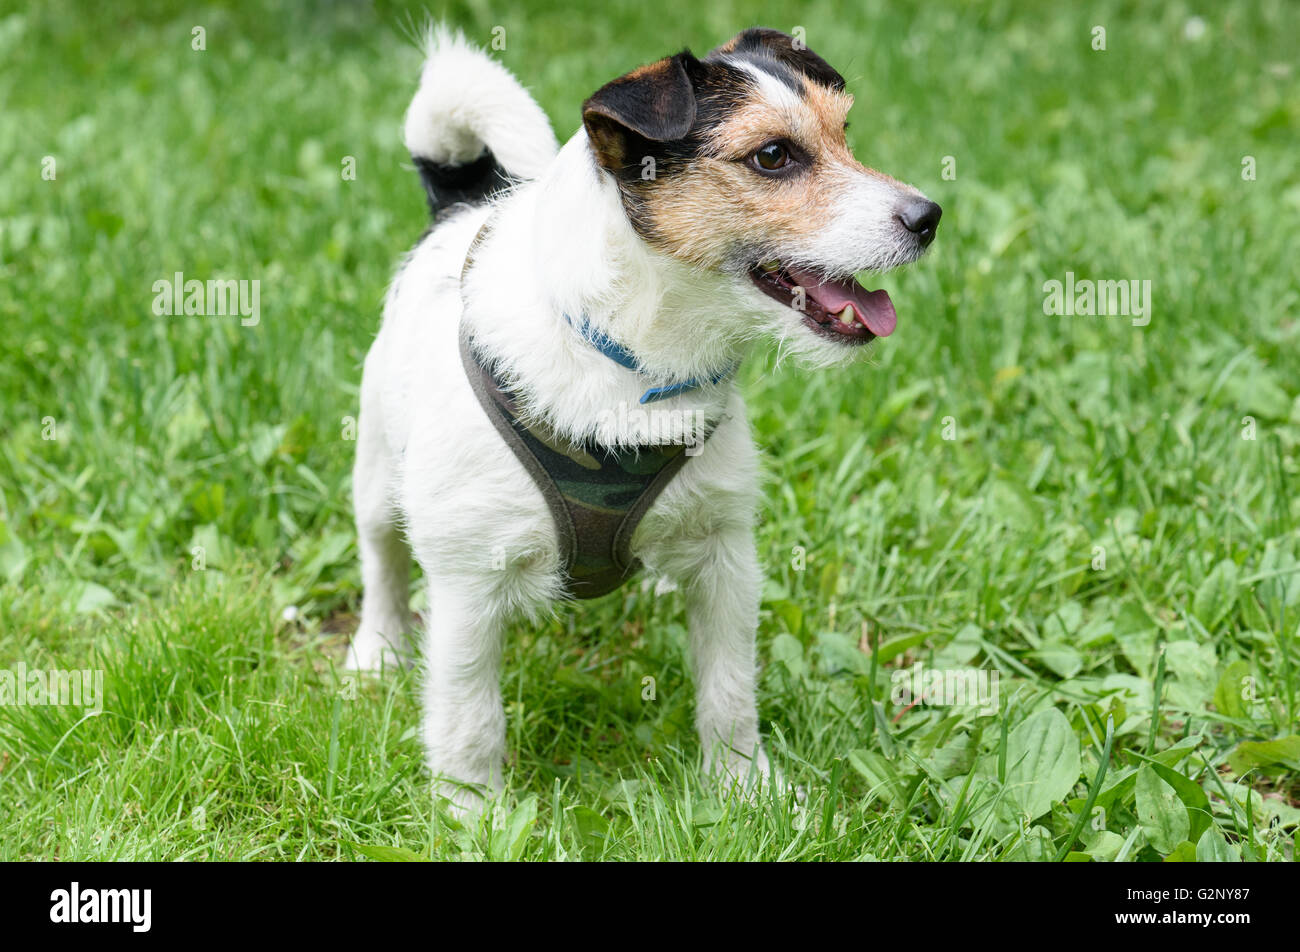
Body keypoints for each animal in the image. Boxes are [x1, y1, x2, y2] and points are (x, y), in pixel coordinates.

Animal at [345, 24, 941, 811]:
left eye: (845, 133)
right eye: (773, 156)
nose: (928, 218)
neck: (639, 366)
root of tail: (457, 208)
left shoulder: (727, 559)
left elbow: (728, 692)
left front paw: (744, 788)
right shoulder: (469, 580)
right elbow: (469, 715)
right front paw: (474, 811)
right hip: (378, 471)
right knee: (381, 559)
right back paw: (375, 651)